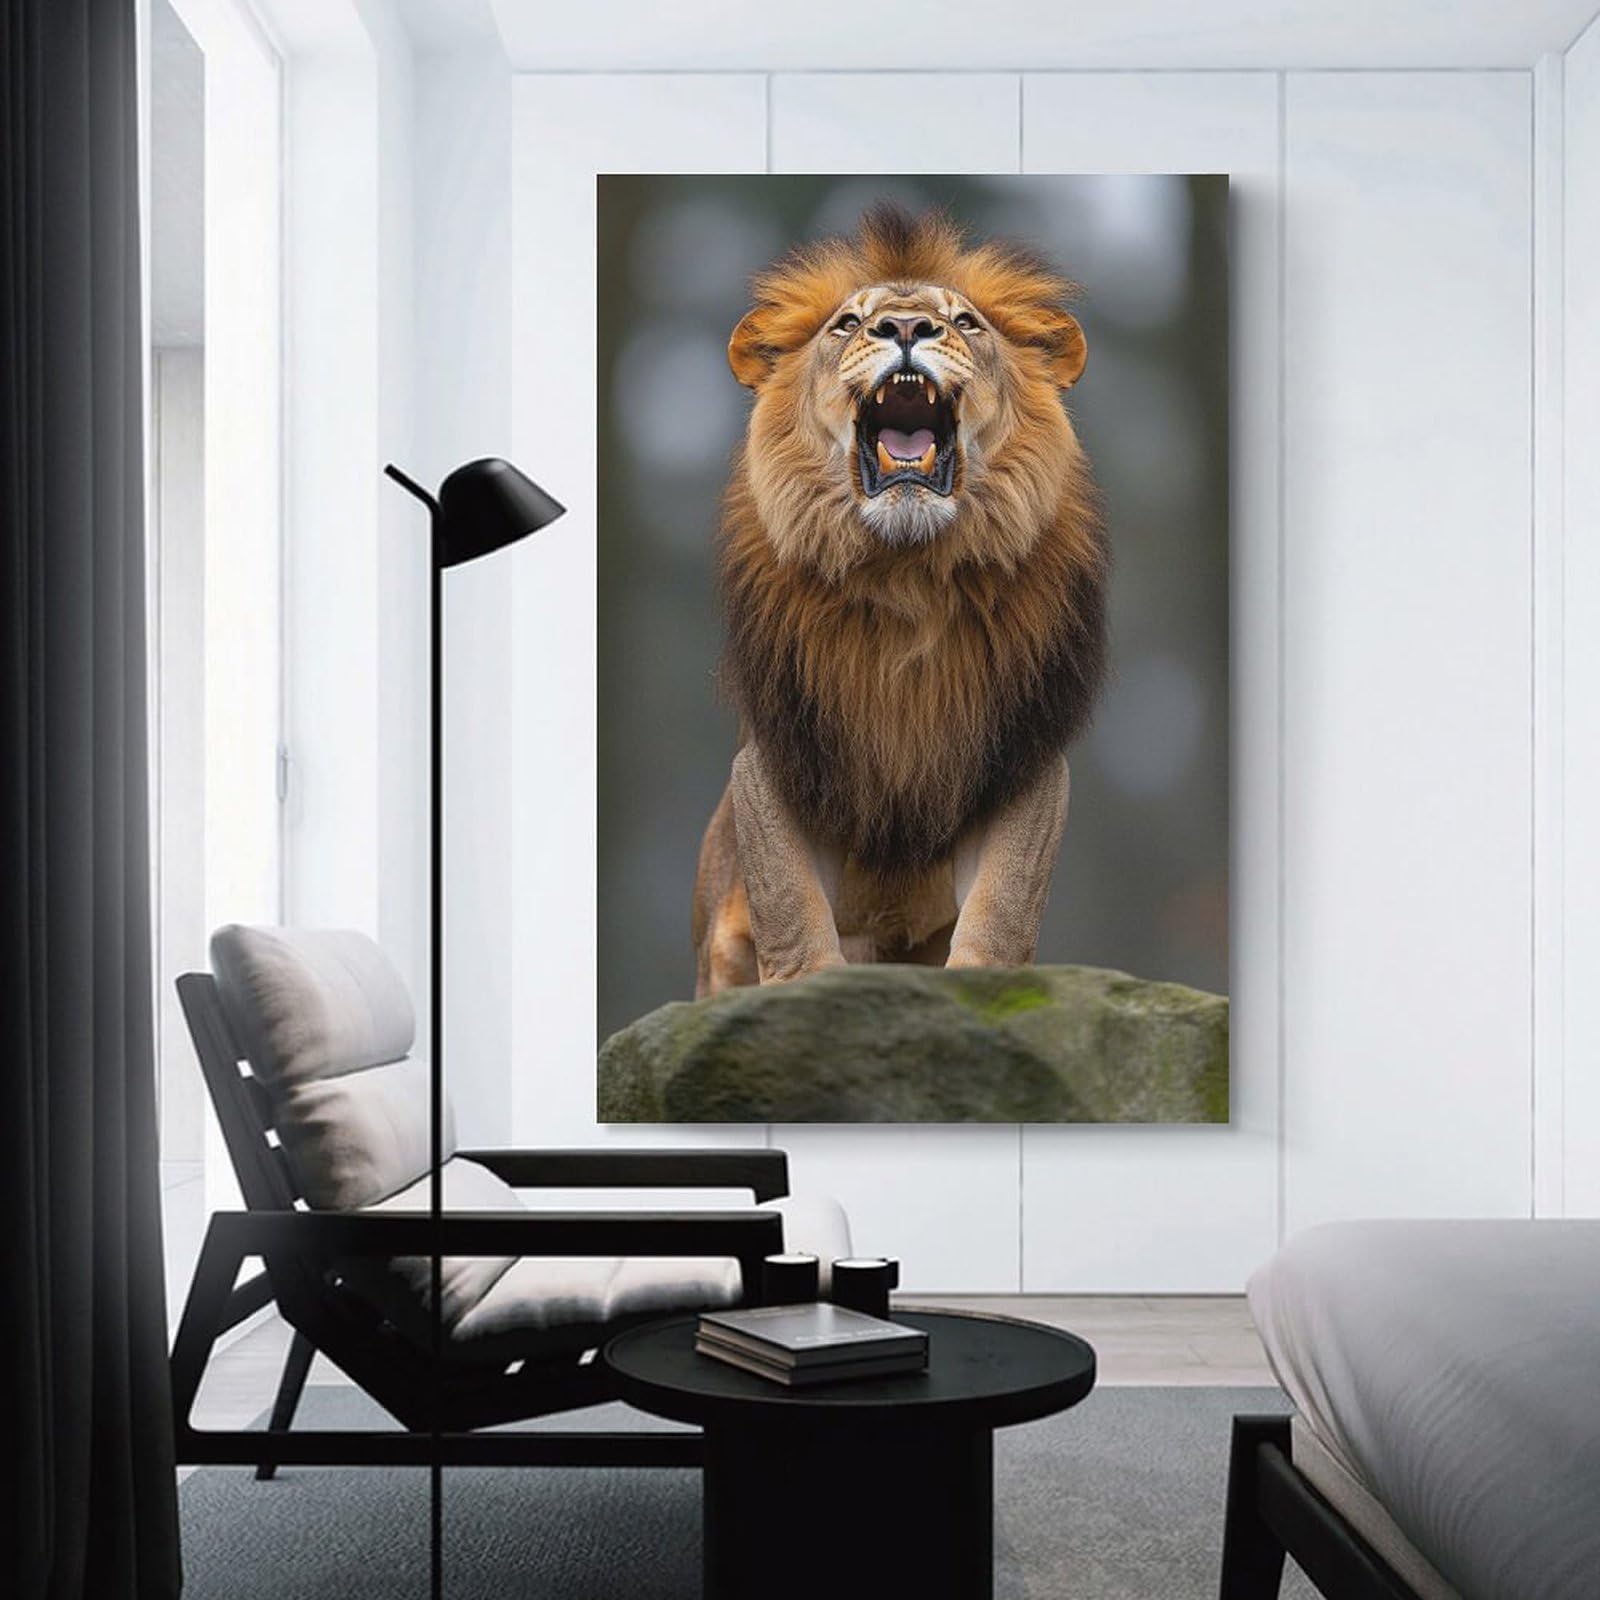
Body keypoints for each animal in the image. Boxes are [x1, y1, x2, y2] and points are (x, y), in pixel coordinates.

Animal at [692, 204, 1107, 994]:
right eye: (848, 323)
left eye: (966, 322)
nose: (908, 328)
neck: (905, 572)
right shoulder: (780, 754)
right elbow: (787, 898)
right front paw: (806, 989)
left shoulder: (1022, 755)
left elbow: (1003, 904)